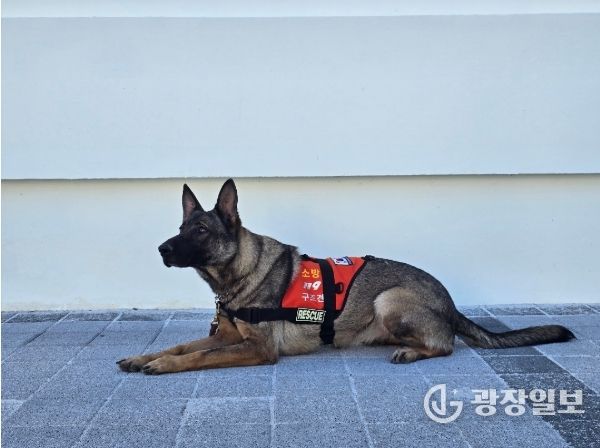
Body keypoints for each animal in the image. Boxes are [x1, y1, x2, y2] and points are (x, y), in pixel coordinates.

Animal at [117, 179, 574, 375]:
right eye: (181, 227)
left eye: (200, 231)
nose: (162, 250)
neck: (239, 273)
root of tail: (449, 301)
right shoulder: (226, 336)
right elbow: (181, 345)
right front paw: (145, 356)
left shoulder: (257, 349)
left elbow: (196, 356)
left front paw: (160, 365)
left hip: (388, 300)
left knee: (444, 344)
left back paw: (412, 351)